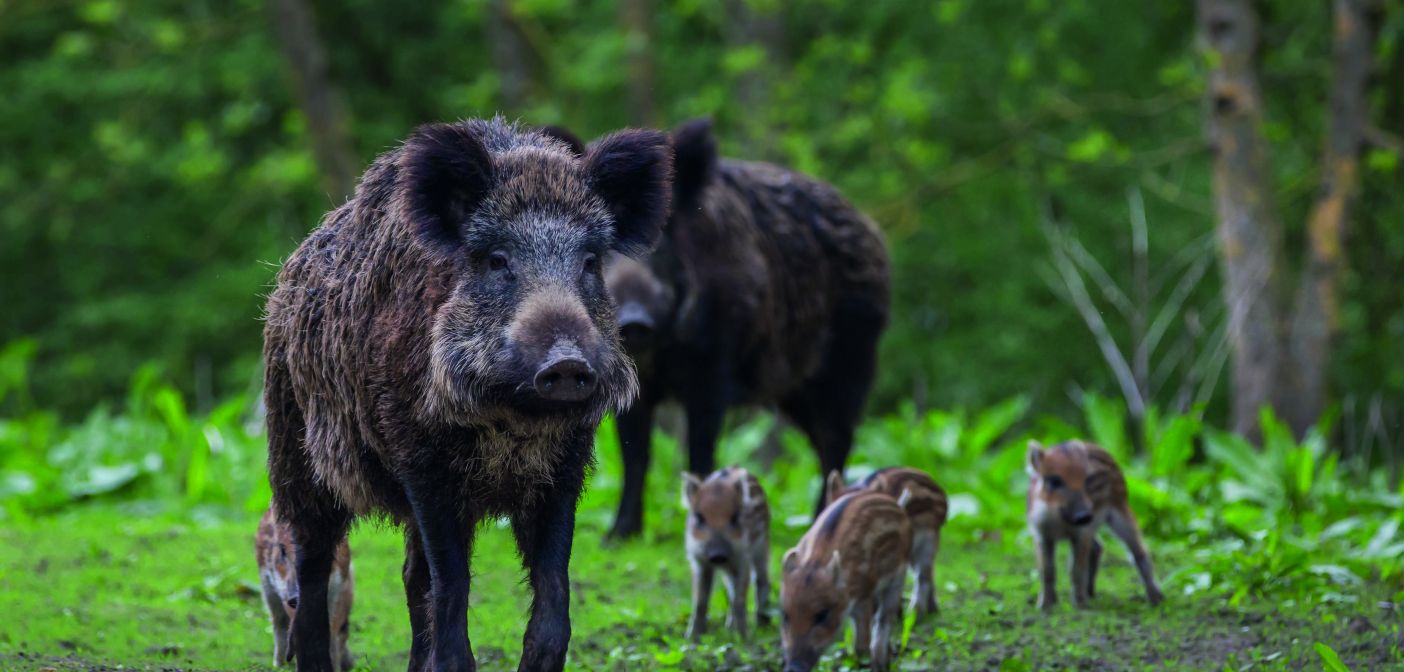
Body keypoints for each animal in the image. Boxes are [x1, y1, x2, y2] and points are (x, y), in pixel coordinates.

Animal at [256, 508, 354, 671]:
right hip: (268, 590)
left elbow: (333, 632)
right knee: (278, 623)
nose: (295, 597)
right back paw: (279, 665)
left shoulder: (341, 586)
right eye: (282, 550)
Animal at [598, 118, 890, 539]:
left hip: (849, 359)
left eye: (659, 245)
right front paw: (617, 538)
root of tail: (872, 231)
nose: (633, 320)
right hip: (794, 390)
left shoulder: (713, 367)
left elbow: (700, 447)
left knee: (837, 440)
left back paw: (819, 519)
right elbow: (634, 453)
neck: (660, 356)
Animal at [680, 466, 771, 640]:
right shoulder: (699, 561)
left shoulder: (742, 558)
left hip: (762, 546)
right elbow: (700, 600)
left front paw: (743, 637)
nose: (718, 554)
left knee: (761, 579)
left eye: (735, 518)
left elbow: (740, 599)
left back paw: (762, 624)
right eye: (699, 518)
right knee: (730, 589)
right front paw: (692, 637)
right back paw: (729, 626)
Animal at [780, 490, 912, 672]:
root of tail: (898, 505)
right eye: (785, 615)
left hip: (898, 577)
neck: (816, 561)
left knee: (885, 619)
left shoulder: (864, 596)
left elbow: (861, 644)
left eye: (822, 614)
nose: (794, 667)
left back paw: (881, 662)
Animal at [1026, 439, 1165, 611]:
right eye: (1054, 481)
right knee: (1098, 546)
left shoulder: (1082, 532)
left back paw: (1156, 598)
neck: (1060, 520)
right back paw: (1090, 593)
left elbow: (1076, 569)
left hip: (1120, 508)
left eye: (1087, 480)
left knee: (1138, 550)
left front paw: (1080, 605)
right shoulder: (1041, 534)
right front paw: (1045, 606)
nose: (1084, 515)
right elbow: (1047, 570)